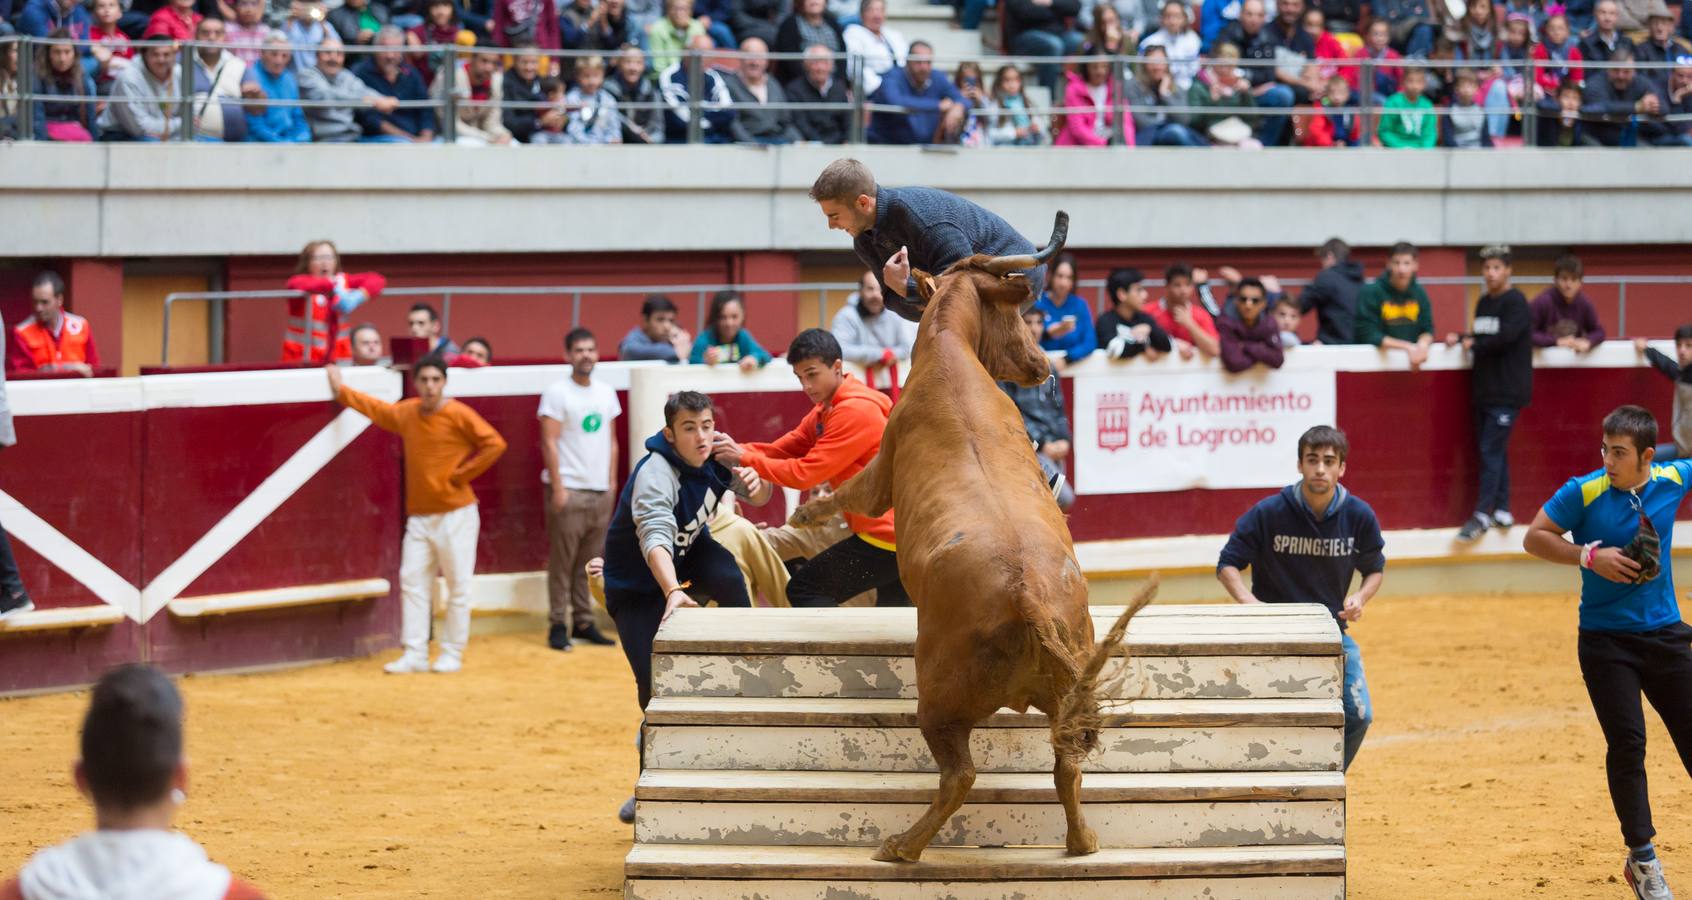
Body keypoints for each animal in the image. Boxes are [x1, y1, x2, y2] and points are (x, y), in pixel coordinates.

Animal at [791, 212, 1150, 866]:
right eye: (1019, 315)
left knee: (959, 774)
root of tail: (1031, 597)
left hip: (938, 701)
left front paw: (808, 513)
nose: (1042, 364)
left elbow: (849, 492)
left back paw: (901, 847)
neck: (949, 353)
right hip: (1069, 687)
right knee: (1067, 763)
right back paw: (1081, 841)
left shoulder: (880, 473)